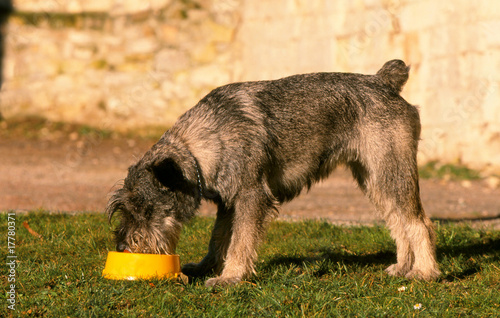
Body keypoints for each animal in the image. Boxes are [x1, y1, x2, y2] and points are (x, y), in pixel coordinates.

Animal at [107, 59, 440, 286]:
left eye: (146, 209)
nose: (123, 247)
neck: (203, 144)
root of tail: (384, 82)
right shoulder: (228, 203)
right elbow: (218, 239)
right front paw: (206, 267)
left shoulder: (251, 196)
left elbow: (240, 241)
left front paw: (230, 277)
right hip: (375, 178)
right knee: (397, 221)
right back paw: (402, 267)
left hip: (391, 172)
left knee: (418, 222)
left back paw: (424, 272)